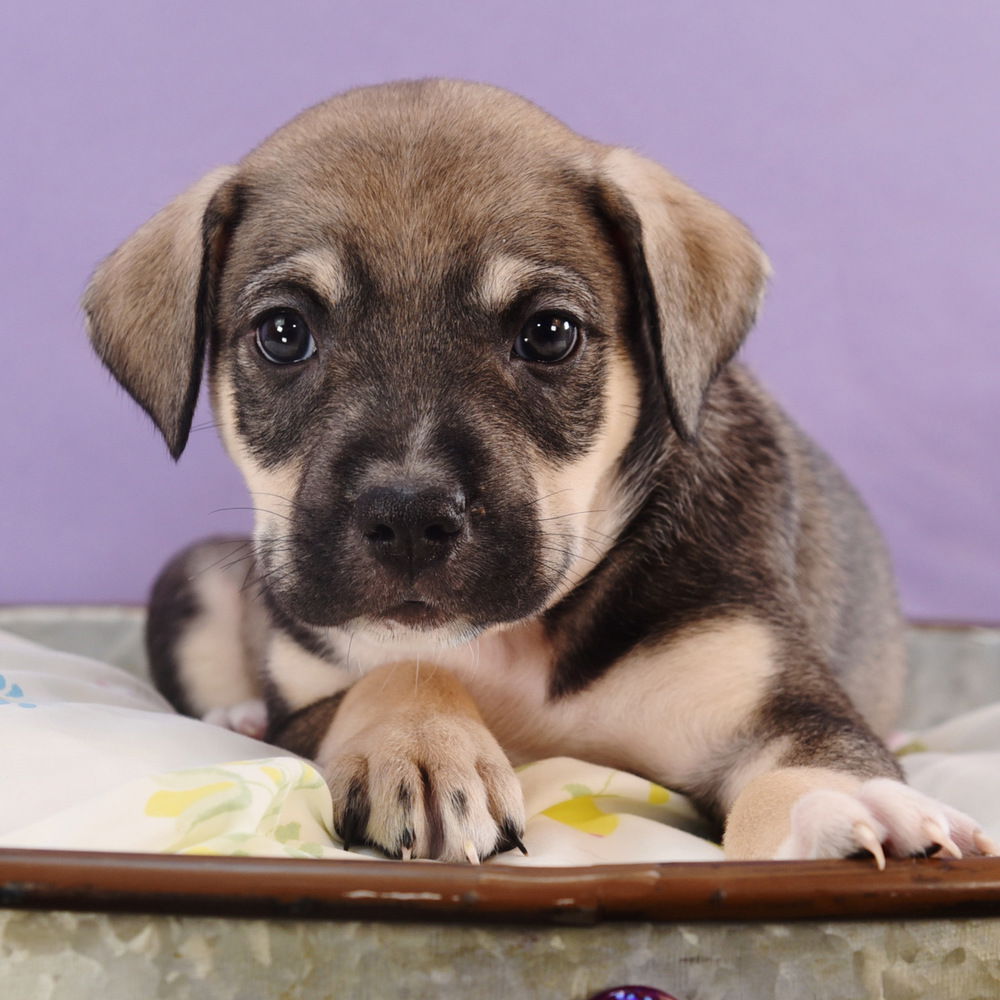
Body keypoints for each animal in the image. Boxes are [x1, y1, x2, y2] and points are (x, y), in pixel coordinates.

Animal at [82, 80, 988, 868]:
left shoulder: (769, 697)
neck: (516, 643)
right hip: (198, 575)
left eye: (549, 334)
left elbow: (811, 757)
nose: (408, 517)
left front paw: (836, 805)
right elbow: (393, 676)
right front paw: (425, 748)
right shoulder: (307, 702)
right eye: (283, 334)